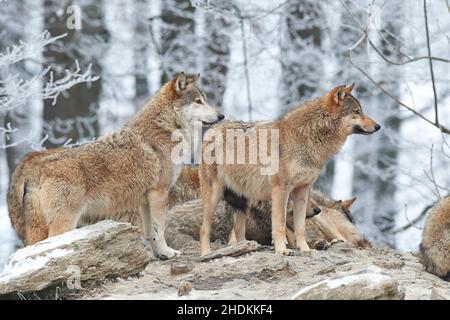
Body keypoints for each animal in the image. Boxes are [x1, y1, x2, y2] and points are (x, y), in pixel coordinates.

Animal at [200, 84, 380, 256]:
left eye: (361, 110)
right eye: (356, 111)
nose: (378, 126)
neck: (307, 137)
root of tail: (211, 130)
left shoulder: (302, 190)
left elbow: (300, 228)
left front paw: (305, 250)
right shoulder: (281, 189)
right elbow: (279, 225)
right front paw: (282, 250)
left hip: (245, 200)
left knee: (238, 229)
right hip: (215, 195)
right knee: (204, 228)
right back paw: (206, 254)